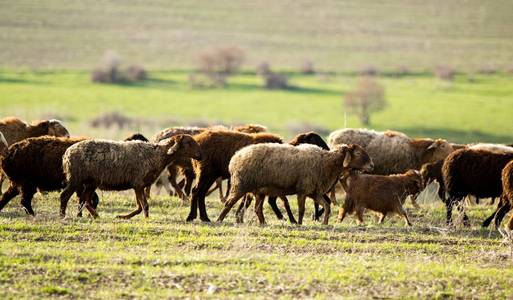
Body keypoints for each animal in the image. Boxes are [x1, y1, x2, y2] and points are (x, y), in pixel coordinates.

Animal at [59, 135, 202, 218]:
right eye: (189, 142)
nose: (200, 156)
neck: (157, 155)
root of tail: (66, 154)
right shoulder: (138, 184)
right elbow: (144, 206)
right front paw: (146, 219)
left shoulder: (138, 185)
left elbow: (139, 207)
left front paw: (123, 217)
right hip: (75, 179)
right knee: (65, 196)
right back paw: (62, 215)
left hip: (90, 182)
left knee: (85, 200)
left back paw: (96, 216)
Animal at [216, 143, 372, 225]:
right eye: (358, 153)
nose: (372, 165)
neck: (326, 163)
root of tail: (235, 158)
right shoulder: (303, 190)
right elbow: (302, 209)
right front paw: (299, 223)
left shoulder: (313, 192)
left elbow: (327, 206)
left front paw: (325, 223)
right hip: (240, 185)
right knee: (229, 203)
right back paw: (218, 220)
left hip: (259, 190)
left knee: (257, 209)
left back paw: (263, 223)